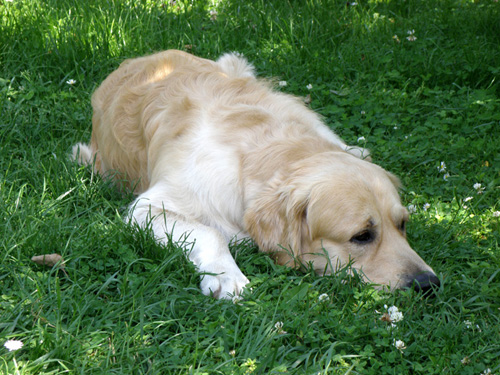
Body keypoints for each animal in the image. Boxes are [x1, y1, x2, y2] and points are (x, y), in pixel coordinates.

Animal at [72, 49, 440, 300]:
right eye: (362, 236)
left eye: (402, 225)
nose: (429, 284)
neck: (265, 153)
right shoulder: (147, 207)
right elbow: (211, 232)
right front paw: (226, 275)